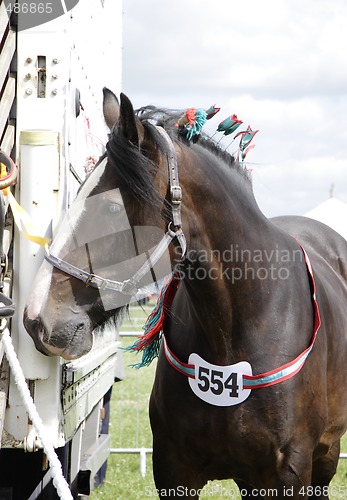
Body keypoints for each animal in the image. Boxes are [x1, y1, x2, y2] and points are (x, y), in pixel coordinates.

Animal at [23, 89, 347, 496]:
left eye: (111, 208)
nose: (36, 318)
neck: (237, 331)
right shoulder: (174, 470)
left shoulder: (290, 474)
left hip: (326, 456)